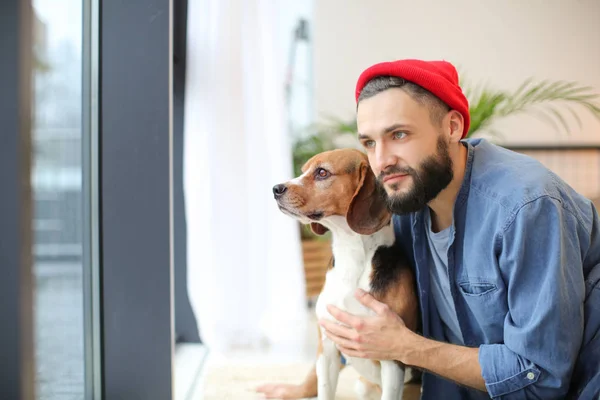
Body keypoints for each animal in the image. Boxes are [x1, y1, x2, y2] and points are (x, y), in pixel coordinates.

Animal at [270, 148, 420, 398]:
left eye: (322, 172)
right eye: (303, 171)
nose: (275, 189)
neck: (351, 254)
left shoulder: (392, 359)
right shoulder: (328, 349)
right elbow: (324, 390)